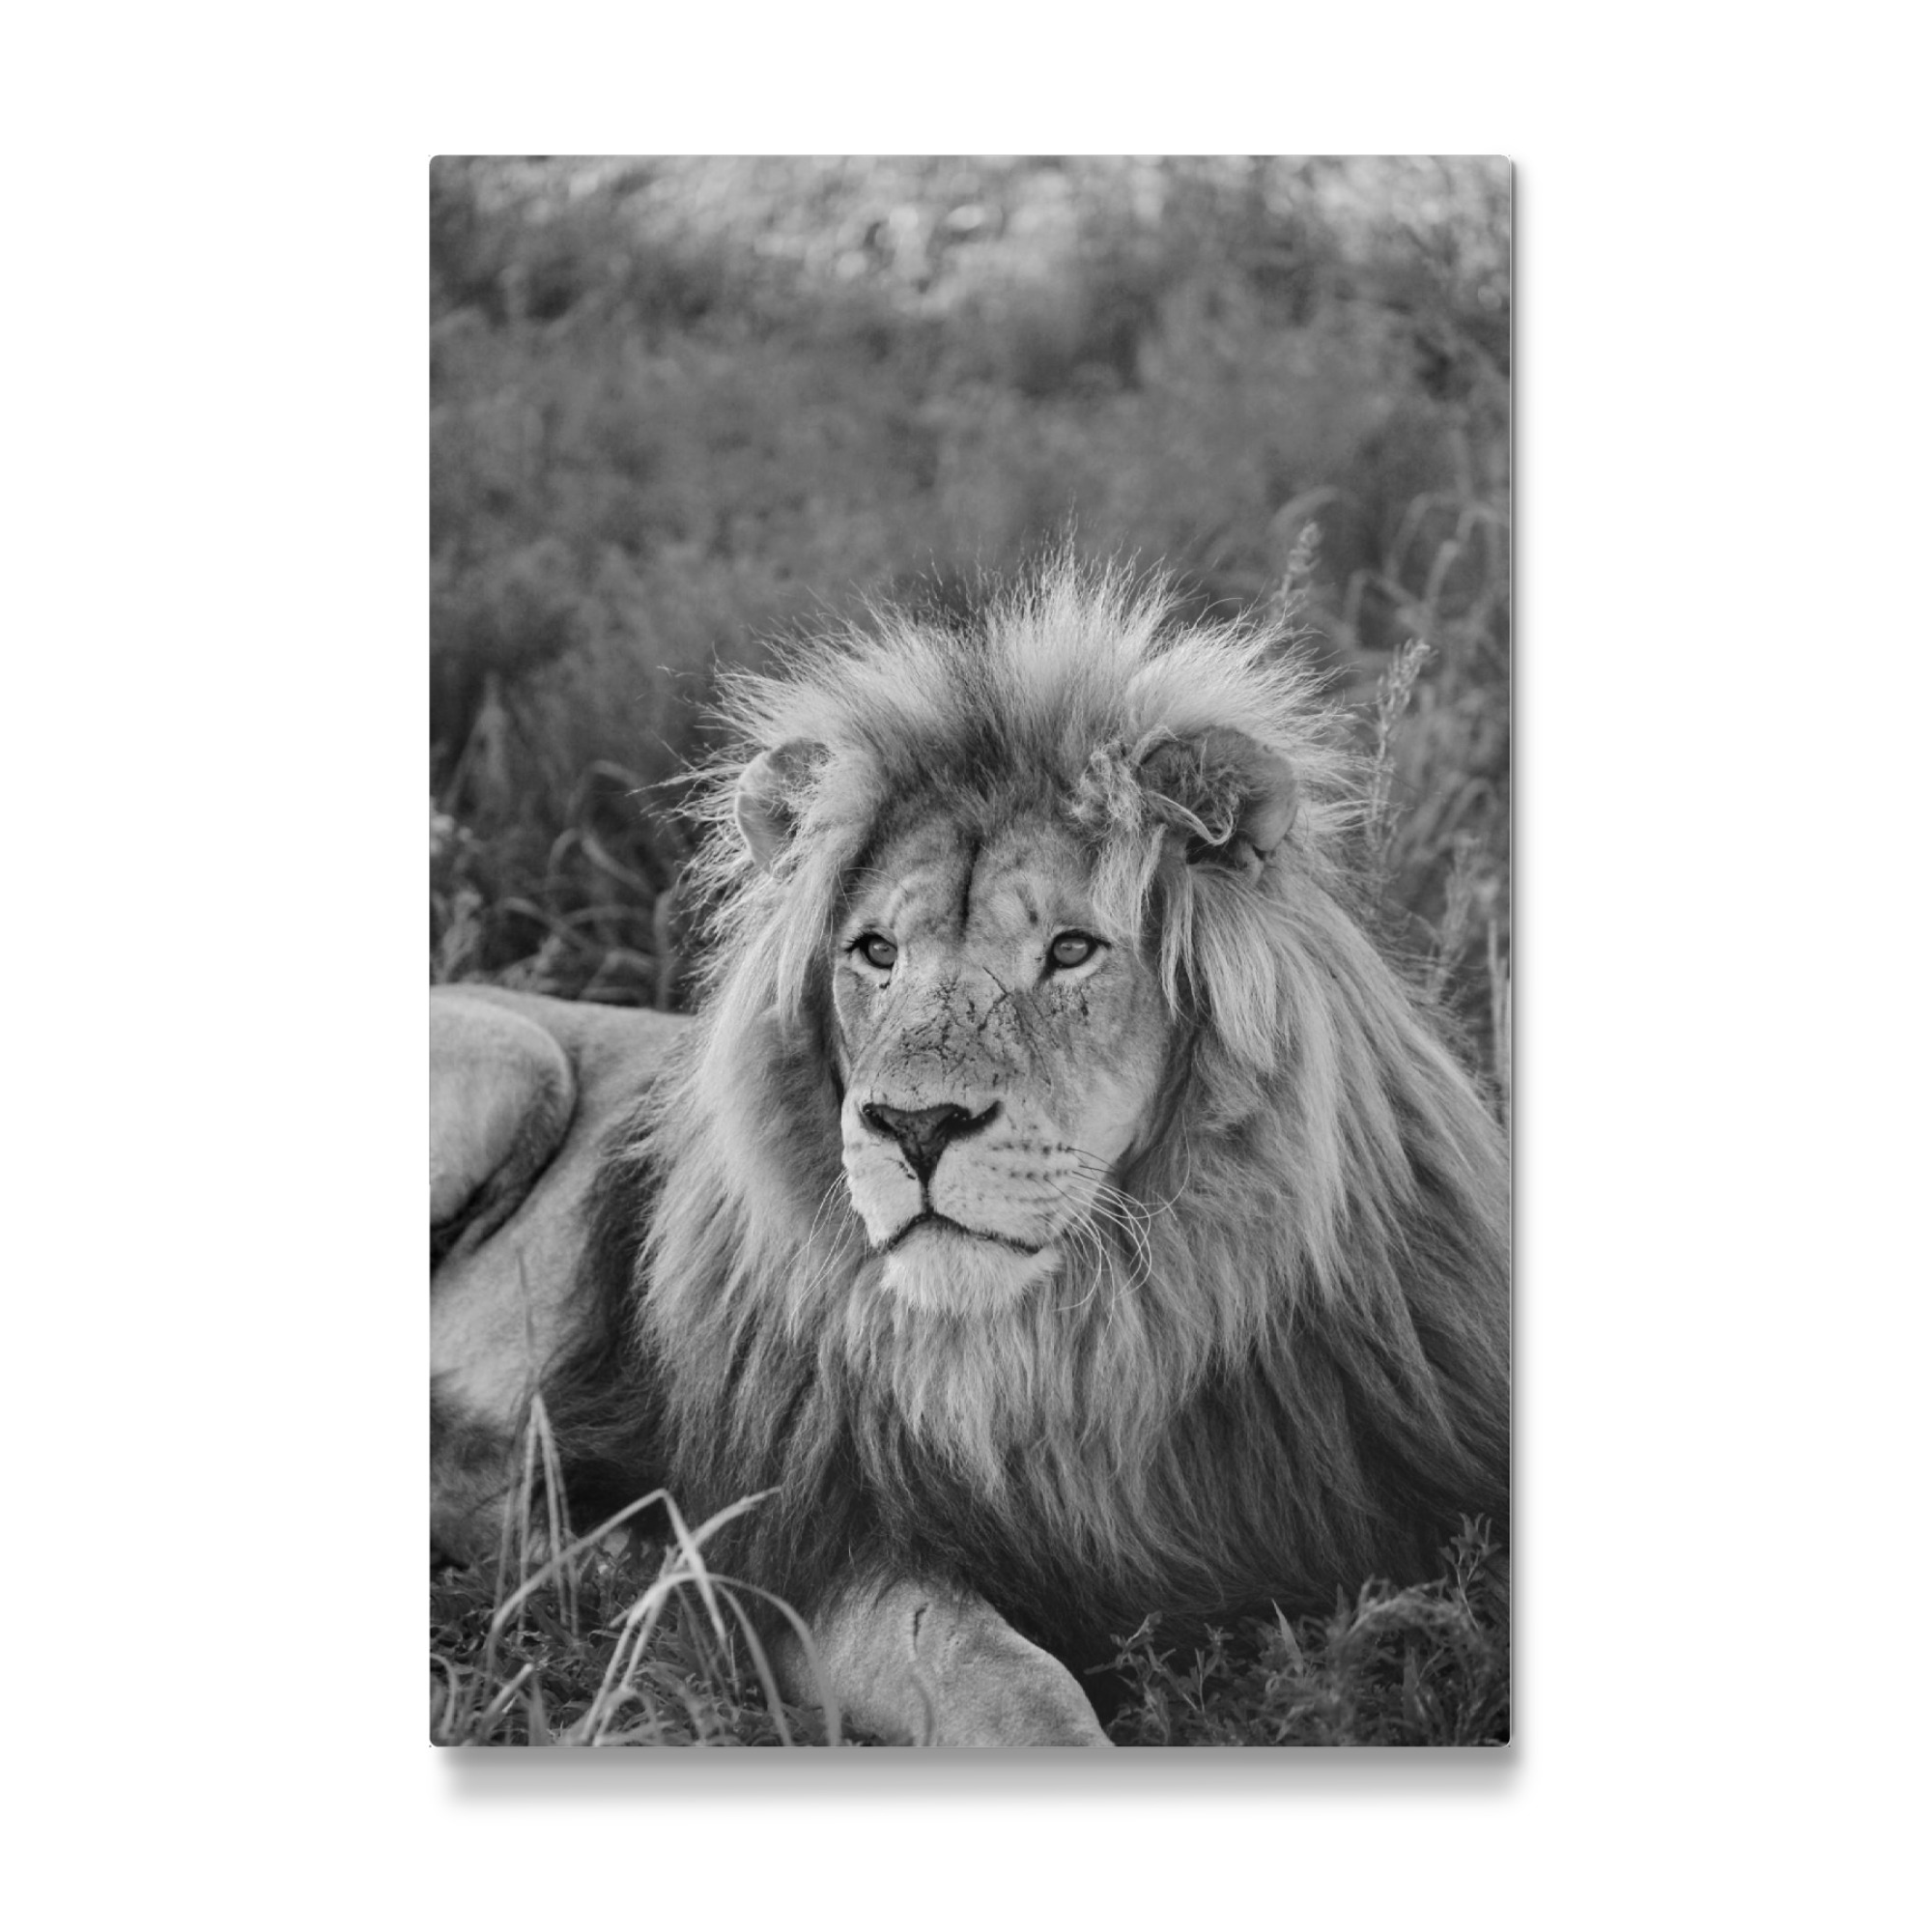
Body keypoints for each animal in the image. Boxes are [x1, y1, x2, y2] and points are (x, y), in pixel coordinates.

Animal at [430, 565, 1510, 1747]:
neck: (1086, 1339)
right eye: (874, 952)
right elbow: (1004, 1677)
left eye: (1071, 950)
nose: (913, 1127)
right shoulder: (806, 1547)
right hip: (516, 1056)